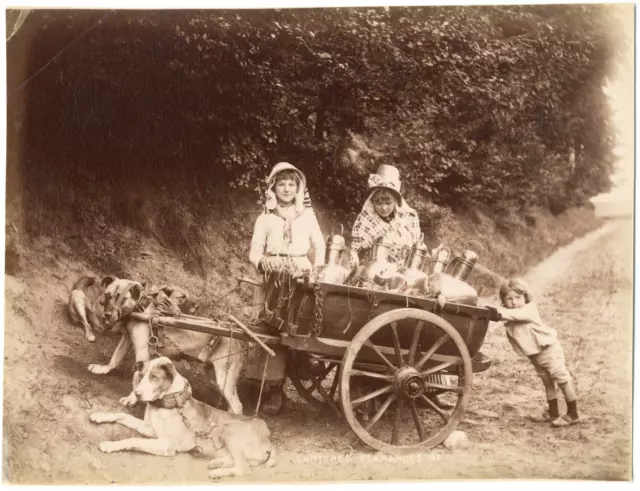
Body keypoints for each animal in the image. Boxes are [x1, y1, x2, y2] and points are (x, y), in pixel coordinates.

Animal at [85, 276, 245, 416]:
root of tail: (239, 340)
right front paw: (103, 369)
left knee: (237, 405)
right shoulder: (127, 339)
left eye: (122, 298)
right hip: (215, 376)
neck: (142, 306)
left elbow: (137, 378)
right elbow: (115, 358)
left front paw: (132, 398)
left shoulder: (142, 353)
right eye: (108, 295)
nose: (107, 315)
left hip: (224, 378)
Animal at [90, 358, 278, 480]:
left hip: (229, 429)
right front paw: (99, 416)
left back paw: (217, 472)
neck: (165, 404)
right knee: (238, 461)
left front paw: (109, 445)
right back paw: (216, 463)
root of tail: (268, 438)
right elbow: (123, 415)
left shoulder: (166, 445)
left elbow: (134, 439)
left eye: (154, 378)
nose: (137, 394)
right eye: (141, 376)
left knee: (243, 469)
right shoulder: (150, 429)